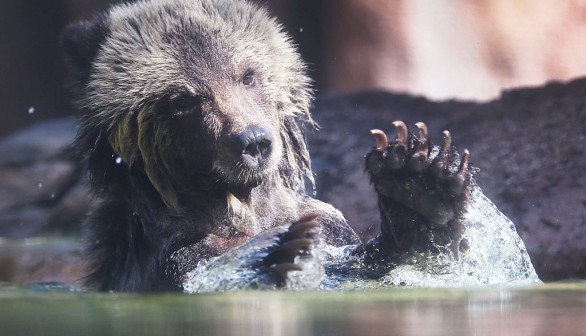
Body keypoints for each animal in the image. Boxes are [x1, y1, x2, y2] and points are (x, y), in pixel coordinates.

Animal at [62, 0, 532, 292]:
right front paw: (286, 252)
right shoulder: (174, 257)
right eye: (182, 99)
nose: (252, 142)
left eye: (247, 75)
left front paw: (418, 180)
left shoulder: (330, 225)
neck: (242, 207)